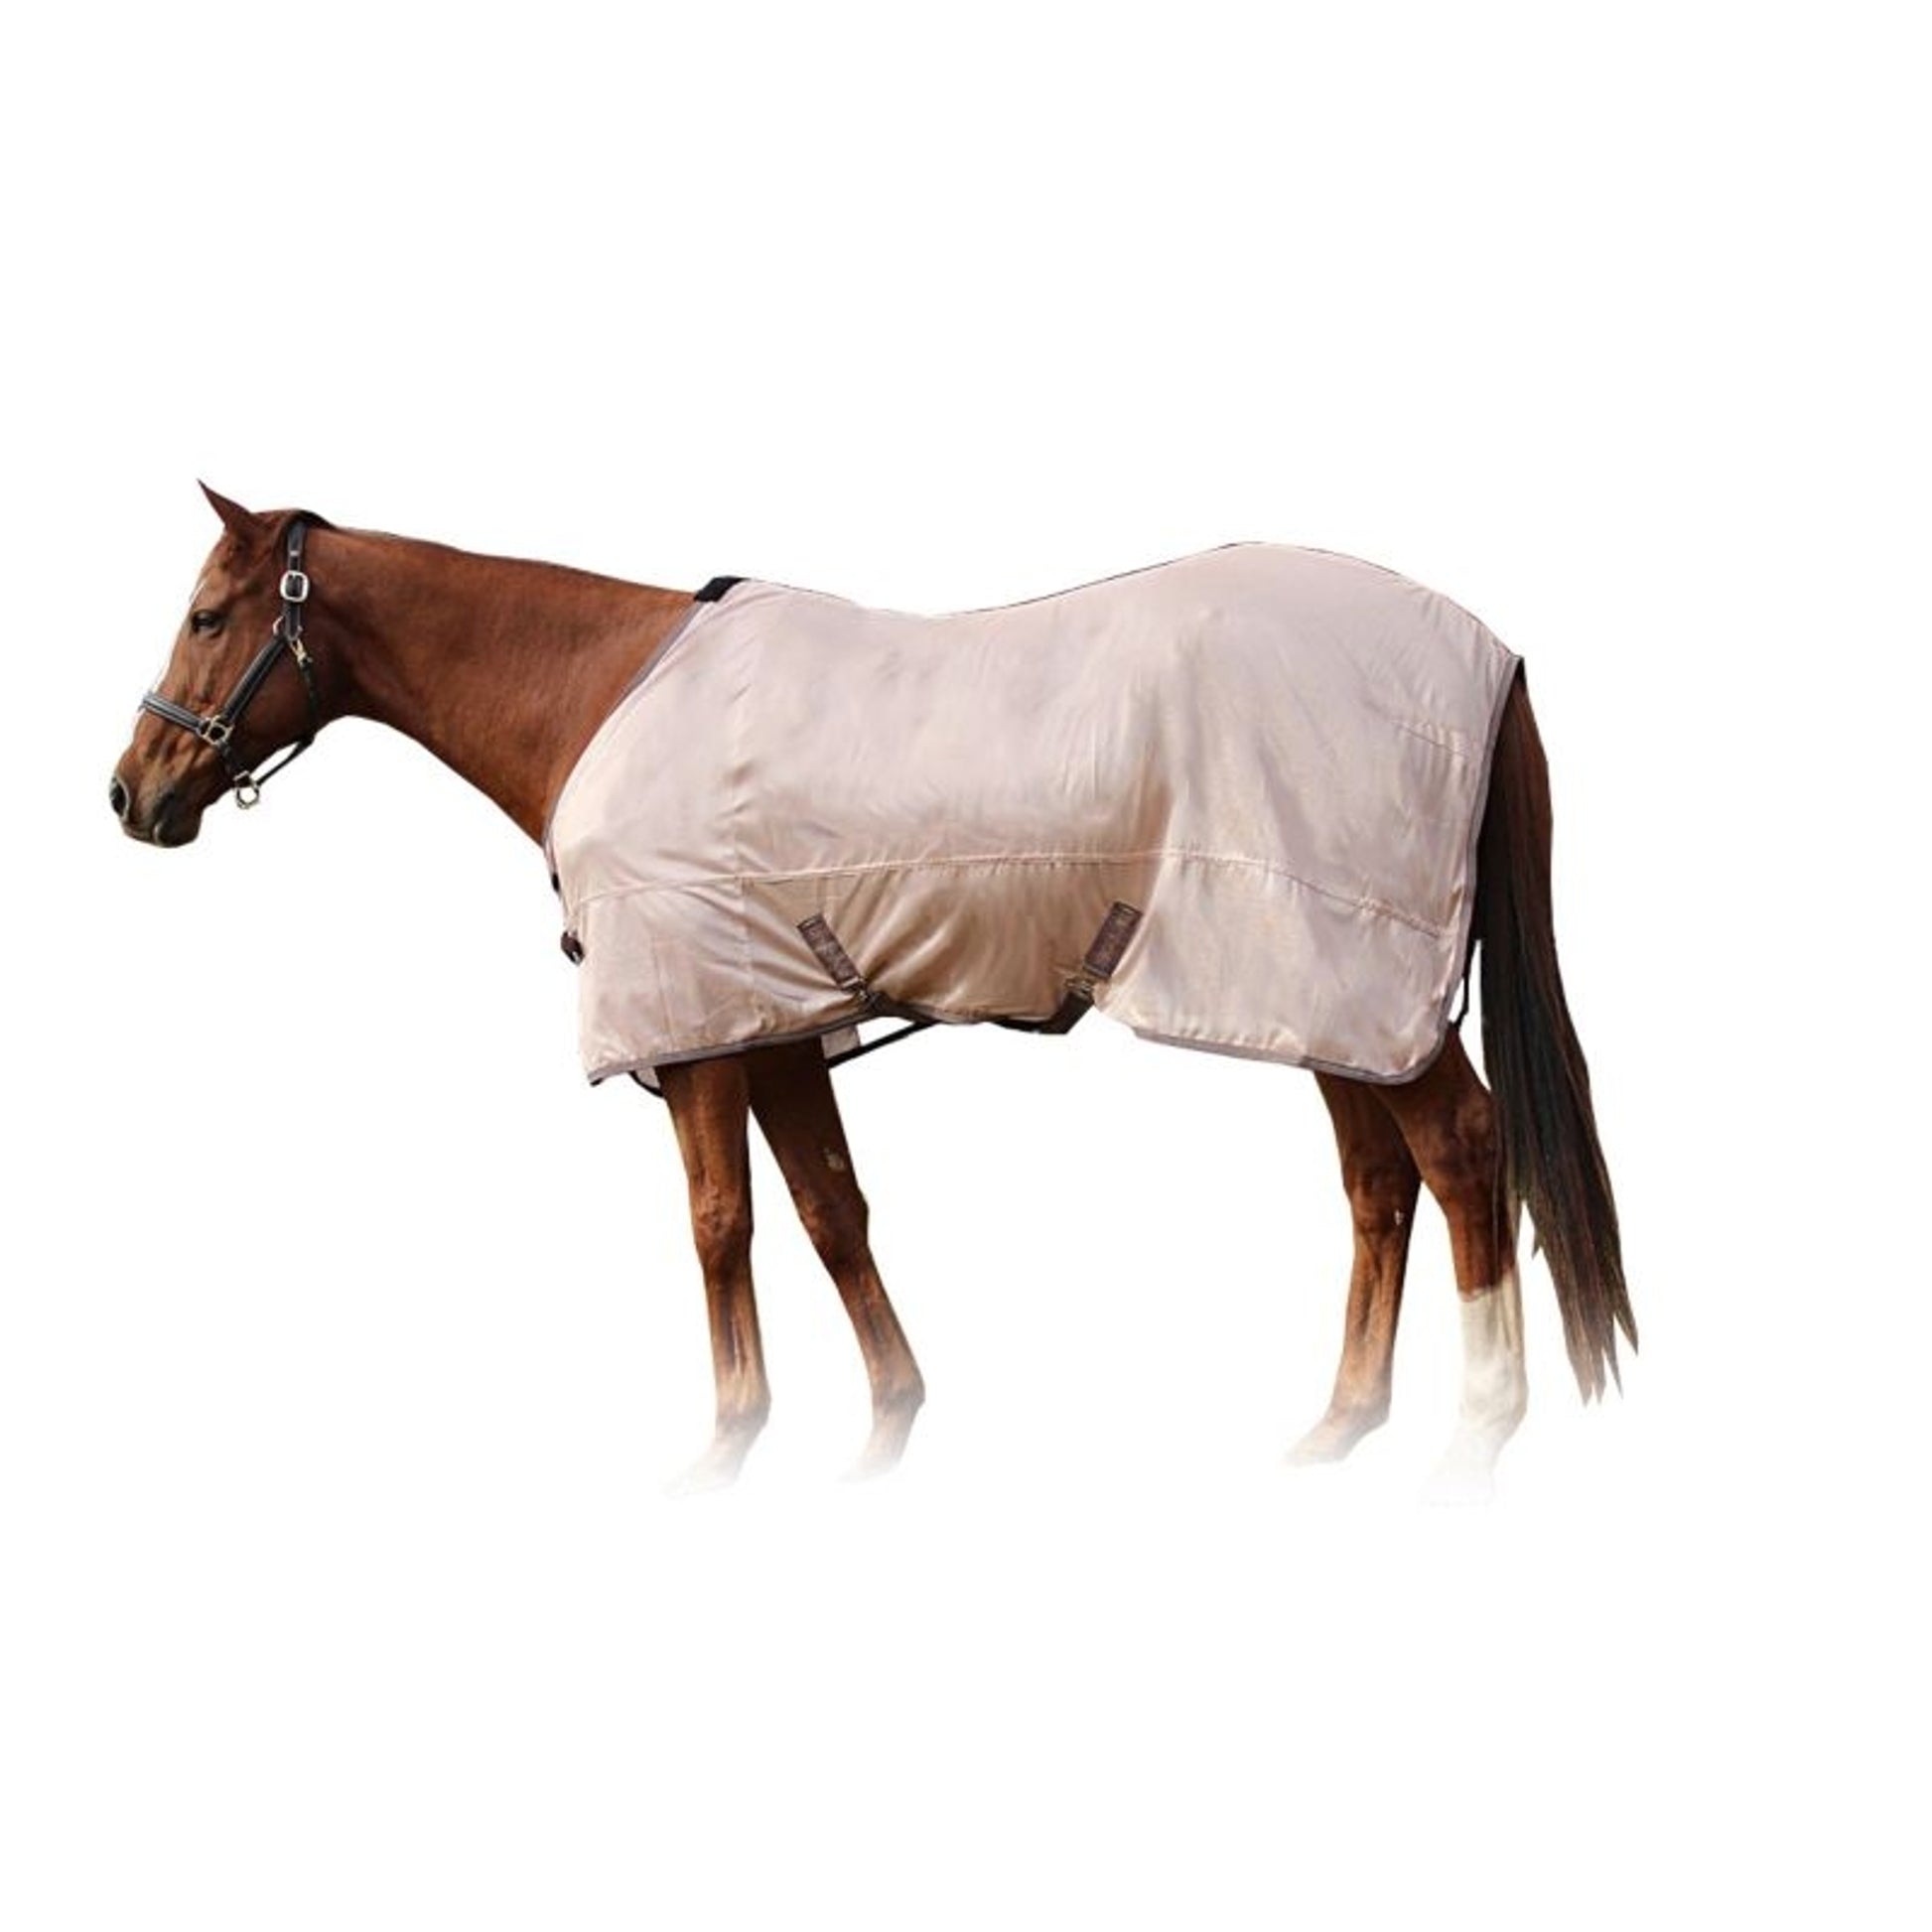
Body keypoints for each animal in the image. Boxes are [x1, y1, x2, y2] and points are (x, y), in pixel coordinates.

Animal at [111, 487, 1633, 1494]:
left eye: (205, 614)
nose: (131, 790)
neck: (600, 691)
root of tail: (1487, 654)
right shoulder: (775, 1020)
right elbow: (830, 1209)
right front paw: (887, 1424)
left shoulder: (699, 1031)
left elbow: (720, 1225)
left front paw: (726, 1445)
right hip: (1311, 991)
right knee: (1380, 1184)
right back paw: (1334, 1430)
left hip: (1354, 981)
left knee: (1463, 1152)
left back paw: (1477, 1428)